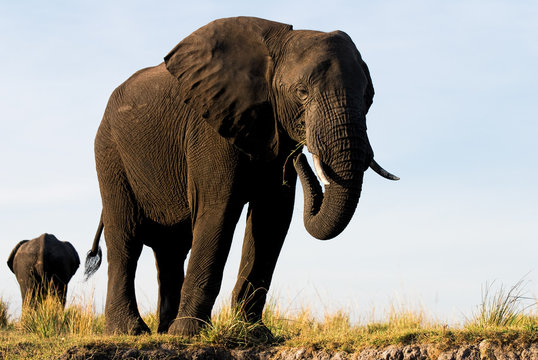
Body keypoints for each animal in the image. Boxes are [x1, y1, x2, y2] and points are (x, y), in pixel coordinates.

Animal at [85, 16, 398, 338]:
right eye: (302, 93)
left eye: (369, 98)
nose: (299, 155)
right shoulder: (210, 129)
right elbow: (218, 211)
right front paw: (189, 334)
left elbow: (272, 218)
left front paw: (254, 332)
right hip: (110, 154)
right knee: (125, 239)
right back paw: (129, 332)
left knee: (171, 249)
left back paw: (164, 330)